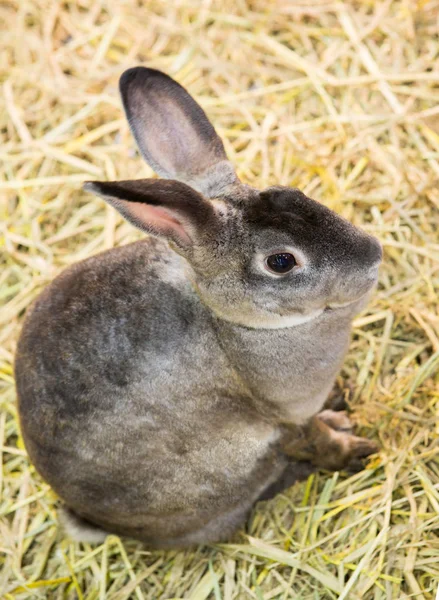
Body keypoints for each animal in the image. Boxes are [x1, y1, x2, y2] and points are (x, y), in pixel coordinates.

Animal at [15, 68, 384, 548]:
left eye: (295, 194)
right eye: (281, 262)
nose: (373, 255)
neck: (228, 325)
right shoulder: (283, 421)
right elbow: (313, 439)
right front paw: (355, 449)